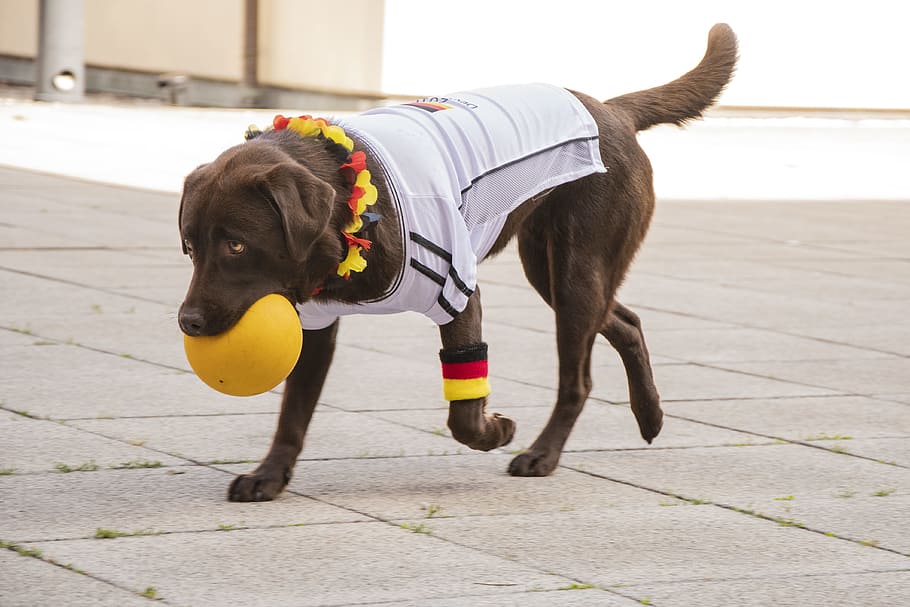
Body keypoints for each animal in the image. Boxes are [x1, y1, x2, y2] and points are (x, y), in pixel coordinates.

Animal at [180, 25, 740, 504]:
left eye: (235, 246)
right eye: (189, 247)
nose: (187, 322)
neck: (351, 198)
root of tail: (611, 110)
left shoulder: (457, 293)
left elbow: (464, 412)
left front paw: (496, 430)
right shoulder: (315, 321)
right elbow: (294, 410)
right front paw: (270, 475)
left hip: (578, 271)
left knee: (578, 377)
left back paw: (543, 453)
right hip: (550, 269)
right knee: (626, 321)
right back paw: (650, 416)